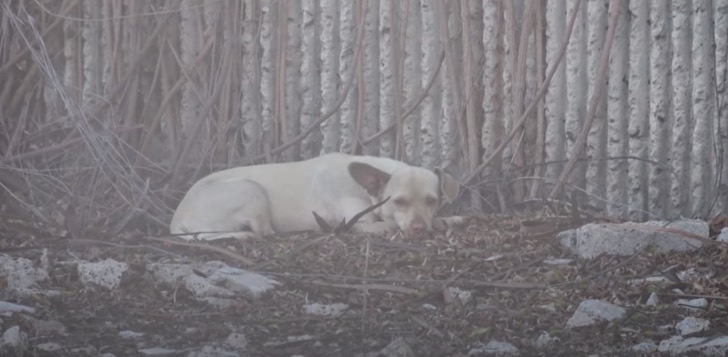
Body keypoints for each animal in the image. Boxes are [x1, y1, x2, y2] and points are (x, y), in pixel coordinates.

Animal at [169, 152, 460, 241]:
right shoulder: (359, 222)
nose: (419, 229)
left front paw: (451, 220)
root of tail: (176, 219)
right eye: (399, 202)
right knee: (264, 232)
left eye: (432, 201)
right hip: (252, 190)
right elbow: (384, 225)